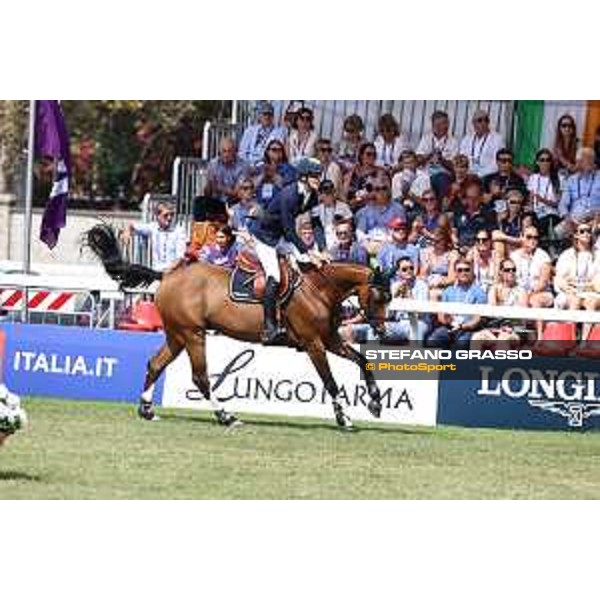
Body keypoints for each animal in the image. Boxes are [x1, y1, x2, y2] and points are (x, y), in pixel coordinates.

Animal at [86, 223, 390, 428]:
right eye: (379, 296)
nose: (382, 330)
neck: (319, 289)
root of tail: (168, 275)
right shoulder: (313, 343)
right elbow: (330, 381)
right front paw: (344, 418)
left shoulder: (330, 339)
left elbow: (363, 361)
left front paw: (375, 402)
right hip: (193, 334)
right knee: (200, 377)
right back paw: (226, 416)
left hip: (177, 335)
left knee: (155, 363)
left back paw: (147, 410)